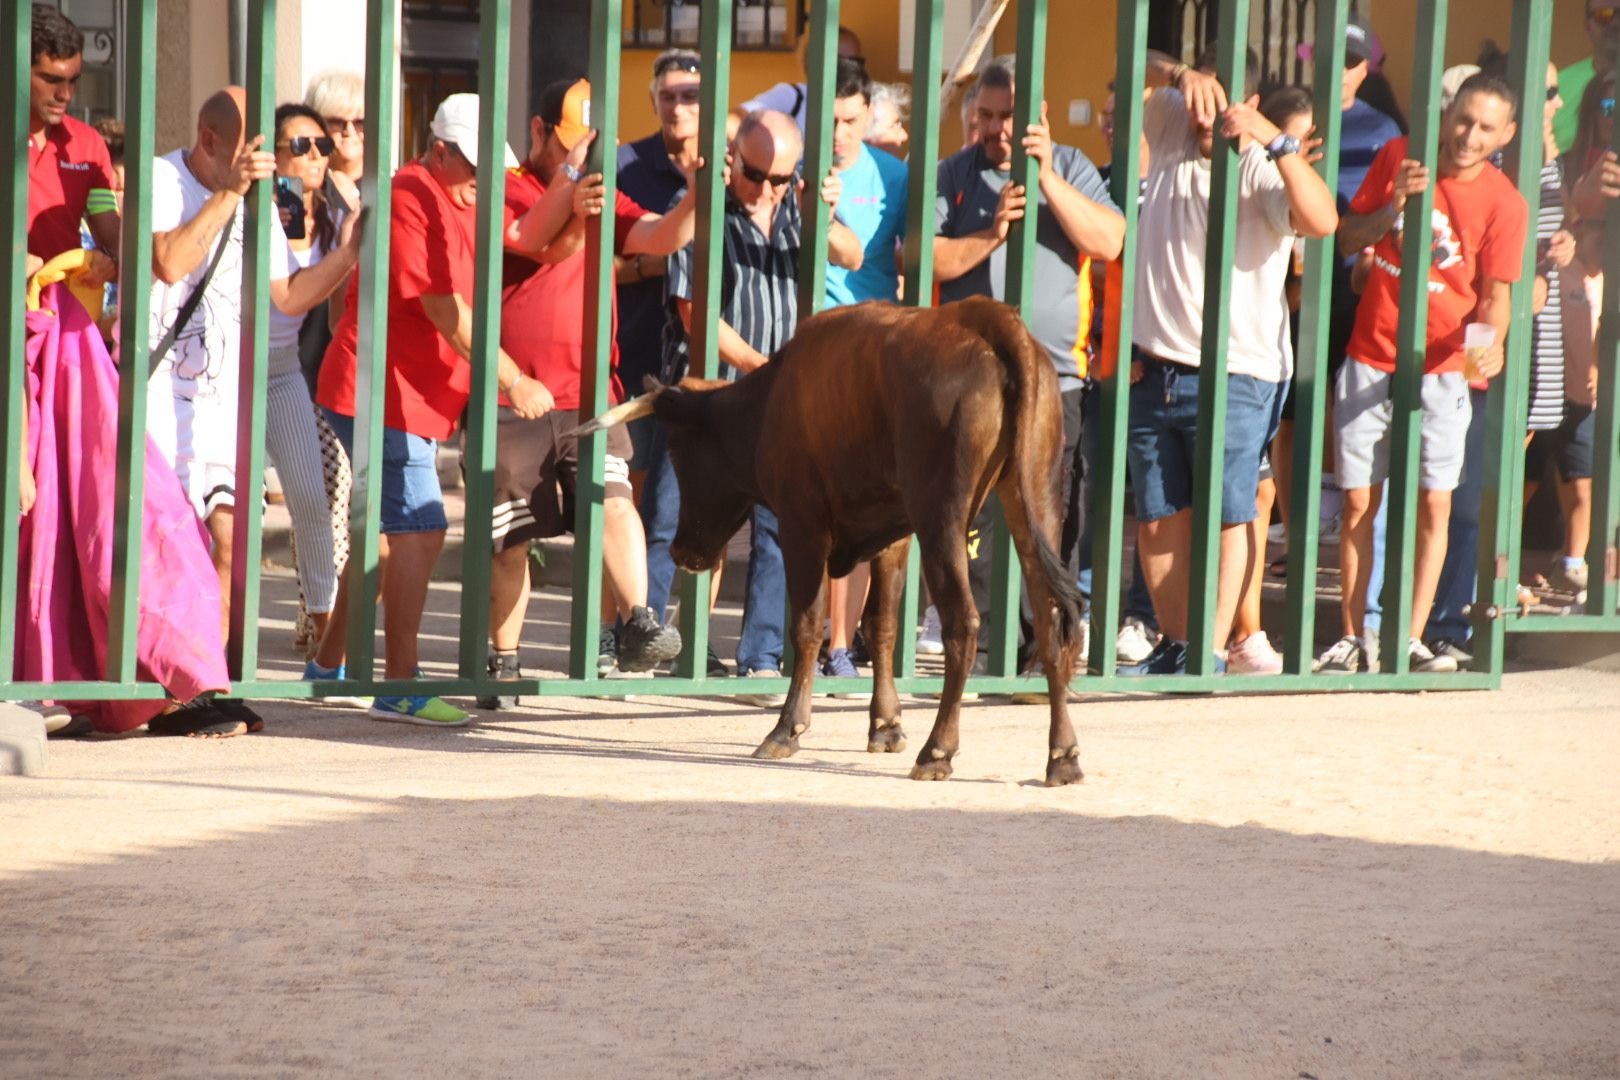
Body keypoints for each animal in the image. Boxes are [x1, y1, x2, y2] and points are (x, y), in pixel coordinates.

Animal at [576, 296, 1082, 786]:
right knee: (1050, 619)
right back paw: (1062, 755)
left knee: (964, 623)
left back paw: (938, 750)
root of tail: (984, 317)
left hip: (942, 516)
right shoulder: (893, 535)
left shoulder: (802, 526)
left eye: (677, 449)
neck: (770, 402)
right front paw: (886, 725)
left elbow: (805, 624)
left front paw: (787, 728)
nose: (682, 550)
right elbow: (881, 625)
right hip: (1033, 500)